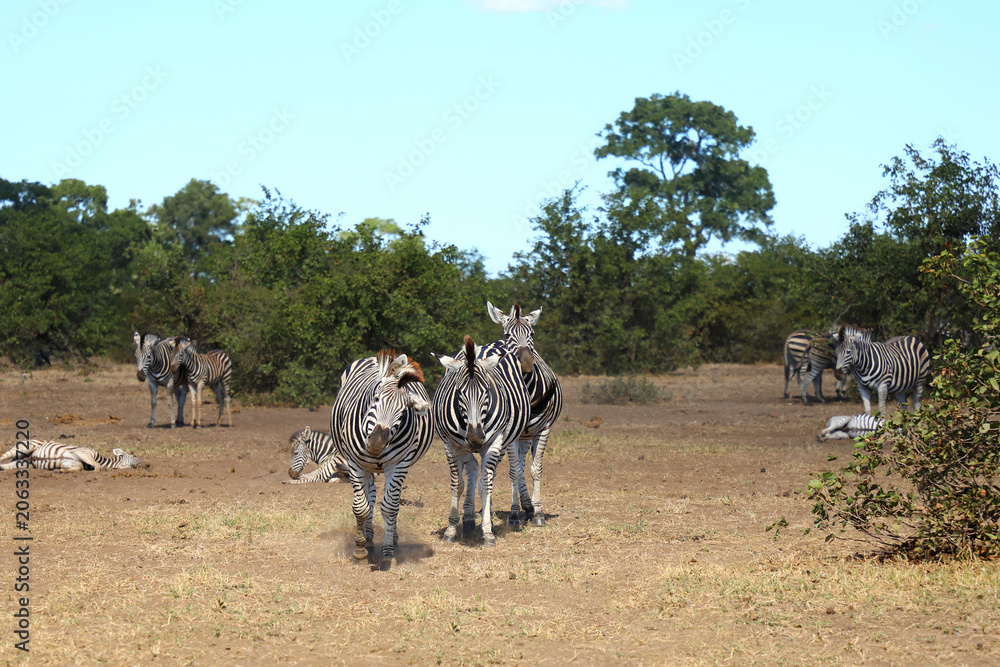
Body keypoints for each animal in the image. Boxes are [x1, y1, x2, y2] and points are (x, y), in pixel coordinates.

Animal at [298, 351, 433, 564]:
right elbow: (361, 507)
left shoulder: (399, 464)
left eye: (404, 411)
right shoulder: (355, 464)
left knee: (391, 500)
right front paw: (360, 549)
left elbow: (390, 507)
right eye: (375, 399)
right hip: (366, 466)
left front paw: (387, 551)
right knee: (370, 495)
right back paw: (369, 537)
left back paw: (392, 537)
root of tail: (372, 358)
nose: (376, 443)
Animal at [432, 335, 531, 547]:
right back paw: (469, 519)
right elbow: (457, 485)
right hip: (464, 447)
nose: (476, 437)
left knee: (506, 473)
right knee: (472, 469)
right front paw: (451, 529)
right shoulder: (450, 445)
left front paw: (487, 532)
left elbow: (486, 486)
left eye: (487, 391)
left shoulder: (493, 443)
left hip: (508, 440)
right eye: (459, 392)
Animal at [487, 301, 563, 527]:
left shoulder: (543, 430)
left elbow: (534, 469)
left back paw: (528, 507)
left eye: (532, 333)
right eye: (507, 334)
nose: (527, 363)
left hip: (525, 436)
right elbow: (514, 472)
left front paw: (538, 513)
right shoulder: (510, 434)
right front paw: (513, 514)